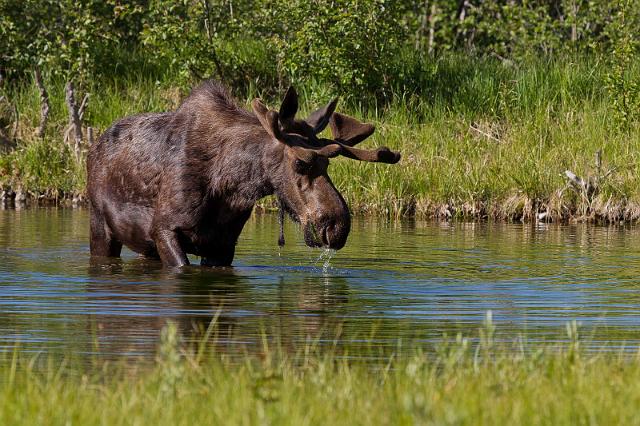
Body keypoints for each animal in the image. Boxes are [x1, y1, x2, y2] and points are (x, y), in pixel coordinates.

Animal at [87, 80, 400, 268]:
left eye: (328, 165)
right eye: (301, 163)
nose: (337, 227)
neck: (231, 183)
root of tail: (94, 148)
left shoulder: (223, 245)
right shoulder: (164, 229)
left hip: (144, 245)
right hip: (100, 225)